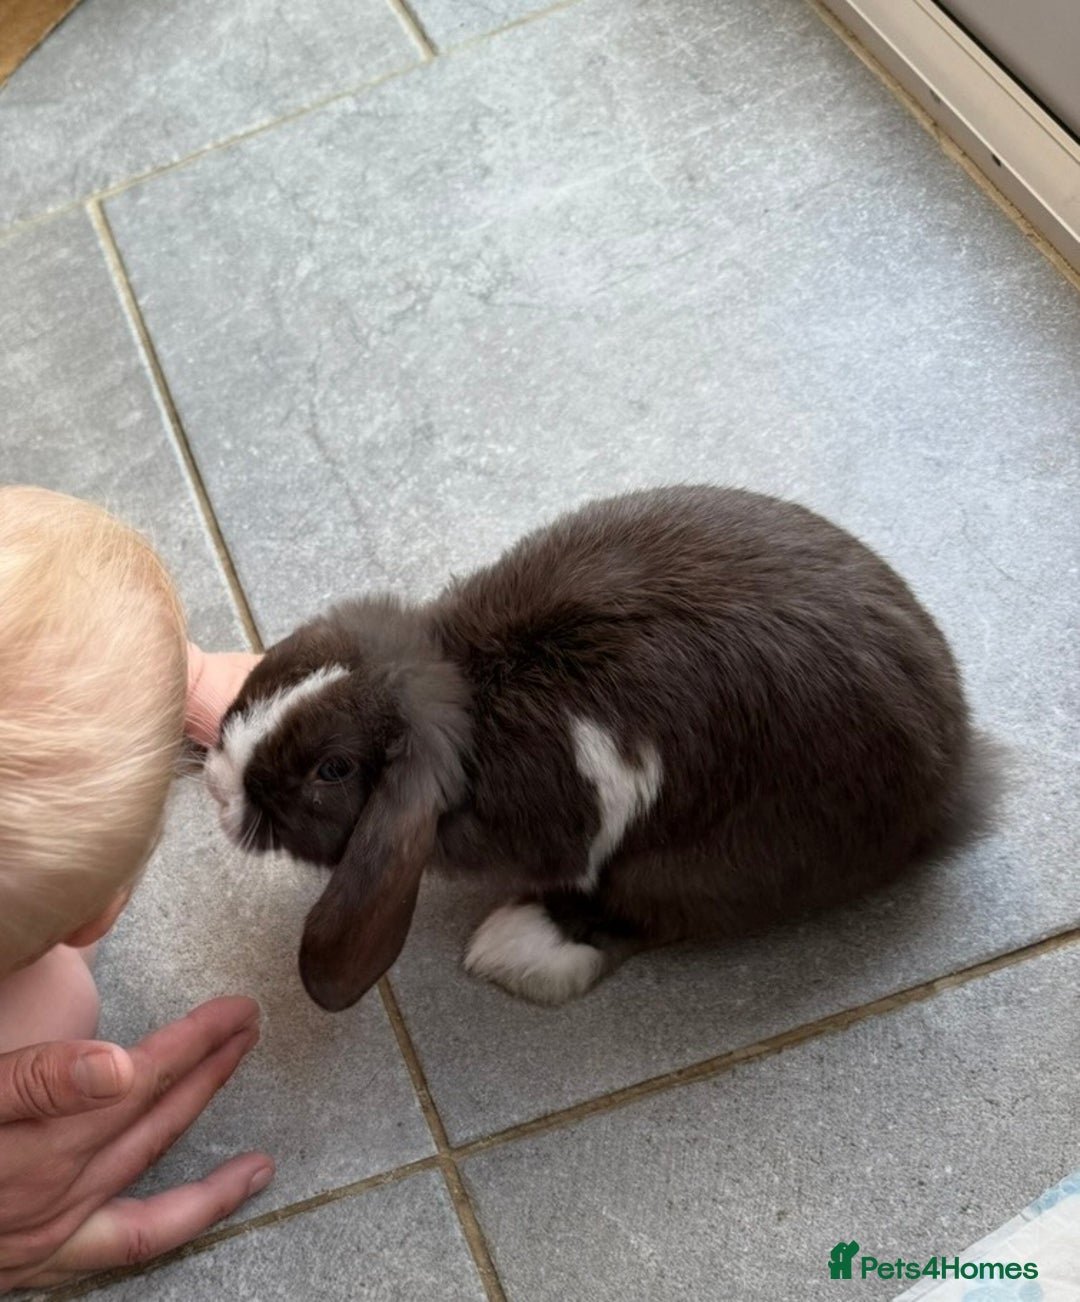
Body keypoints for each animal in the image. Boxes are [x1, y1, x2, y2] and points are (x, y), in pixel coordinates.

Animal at [205, 485, 991, 1012]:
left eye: (331, 769)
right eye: (279, 664)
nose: (219, 782)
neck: (468, 687)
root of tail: (952, 788)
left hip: (695, 865)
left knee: (650, 919)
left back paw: (521, 948)